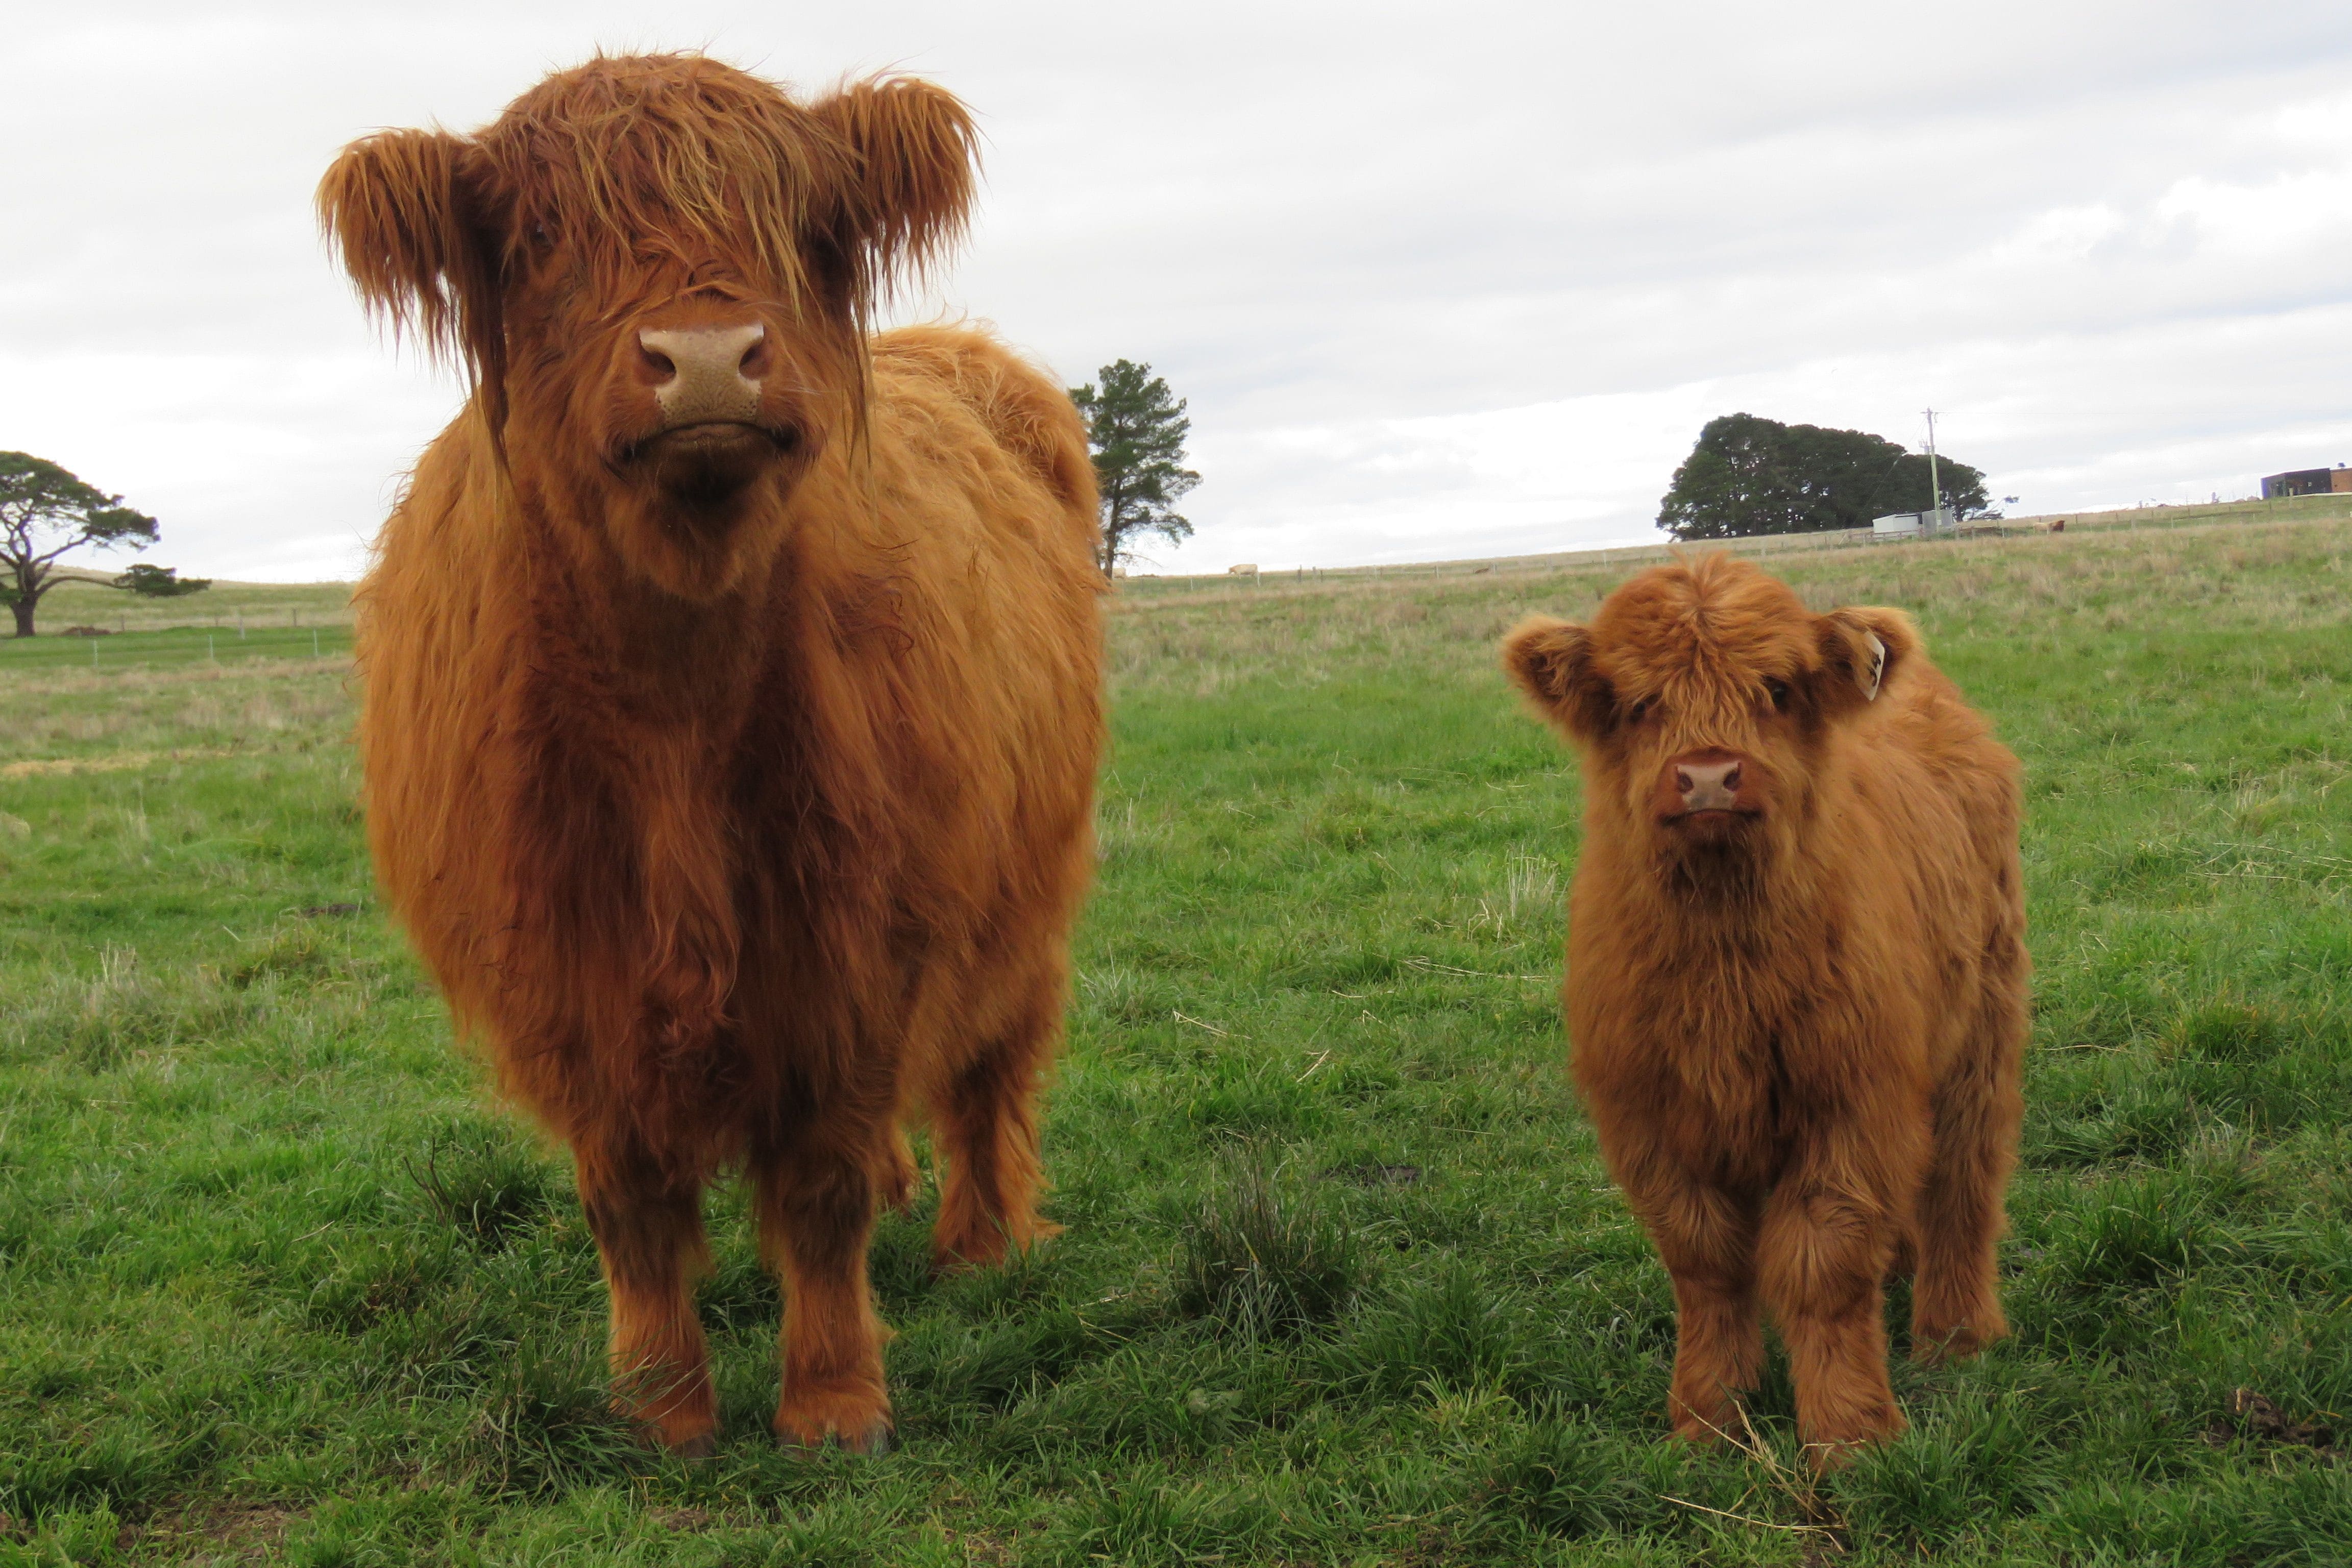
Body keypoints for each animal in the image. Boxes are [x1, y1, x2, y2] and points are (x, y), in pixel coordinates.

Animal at [315, 61, 1110, 1457]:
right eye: (541, 235)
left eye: (798, 220)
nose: (703, 361)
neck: (673, 705)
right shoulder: (571, 973)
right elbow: (632, 1203)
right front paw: (661, 1404)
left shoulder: (859, 945)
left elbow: (821, 1182)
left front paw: (835, 1401)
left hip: (1026, 889)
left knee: (991, 1069)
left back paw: (983, 1240)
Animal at [1514, 557, 2032, 1466]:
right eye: (1640, 702)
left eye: (1777, 689)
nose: (1708, 777)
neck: (1725, 969)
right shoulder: (1650, 1120)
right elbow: (1706, 1265)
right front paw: (1706, 1418)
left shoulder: (1854, 1102)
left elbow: (1823, 1266)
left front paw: (1852, 1434)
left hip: (1983, 1024)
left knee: (1965, 1175)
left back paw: (1958, 1333)